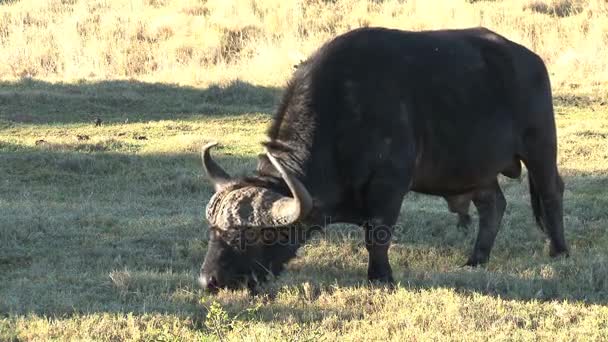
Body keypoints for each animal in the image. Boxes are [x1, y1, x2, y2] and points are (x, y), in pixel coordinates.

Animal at [197, 28, 568, 292]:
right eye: (214, 231)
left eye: (250, 236)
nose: (208, 281)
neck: (344, 112)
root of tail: (531, 60)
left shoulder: (390, 186)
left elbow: (378, 233)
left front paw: (380, 278)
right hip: (475, 170)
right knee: (493, 204)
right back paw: (476, 259)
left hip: (540, 146)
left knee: (551, 192)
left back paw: (559, 250)